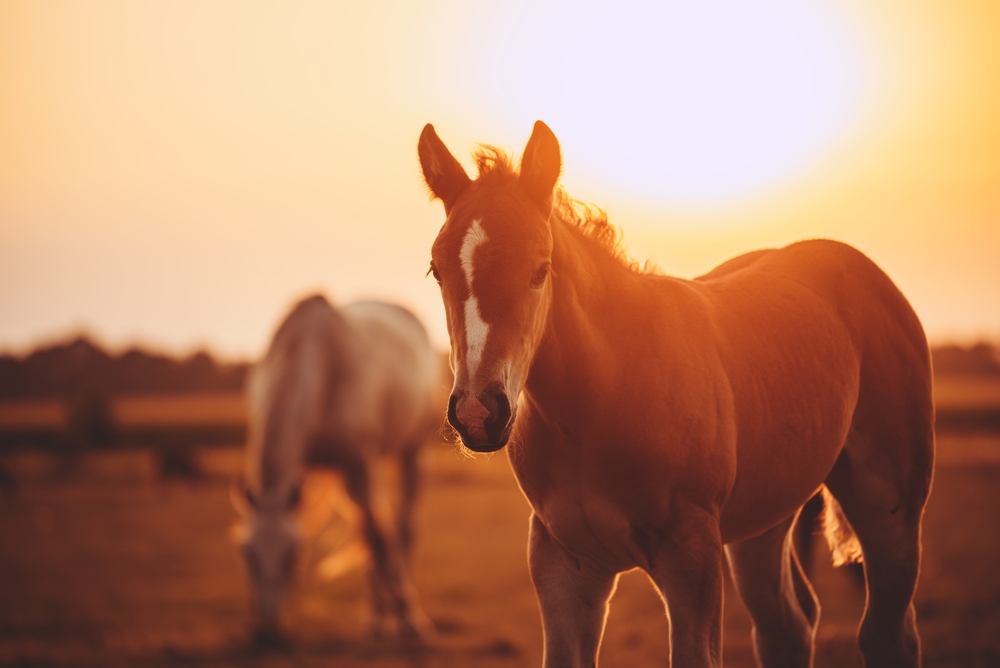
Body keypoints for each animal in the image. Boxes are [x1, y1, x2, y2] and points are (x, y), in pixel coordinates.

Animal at [239, 294, 442, 644]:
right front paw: (381, 619)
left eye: (294, 555)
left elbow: (380, 541)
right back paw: (376, 618)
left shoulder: (360, 464)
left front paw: (410, 619)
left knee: (400, 530)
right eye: (248, 555)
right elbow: (373, 539)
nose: (267, 632)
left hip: (411, 453)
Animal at [418, 121, 934, 667]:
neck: (601, 399)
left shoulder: (692, 557)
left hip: (890, 506)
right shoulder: (565, 564)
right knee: (788, 628)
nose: (478, 412)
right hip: (761, 525)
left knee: (887, 633)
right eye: (436, 270)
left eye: (541, 269)